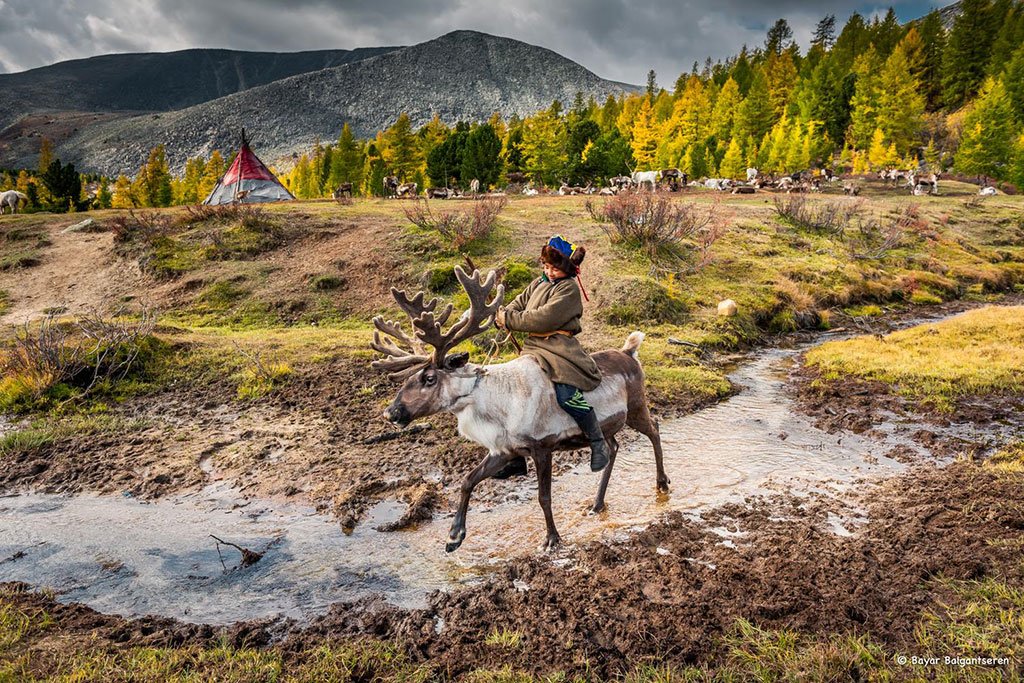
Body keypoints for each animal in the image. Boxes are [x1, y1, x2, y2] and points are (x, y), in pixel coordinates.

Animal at [370, 266, 669, 552]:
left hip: (636, 406)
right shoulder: (503, 450)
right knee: (613, 447)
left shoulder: (542, 447)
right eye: (410, 377)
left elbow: (544, 497)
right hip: (609, 425)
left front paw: (552, 539)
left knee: (654, 430)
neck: (496, 406)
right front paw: (454, 536)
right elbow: (468, 480)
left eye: (430, 378)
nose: (391, 413)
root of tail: (629, 352)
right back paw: (597, 503)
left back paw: (662, 483)